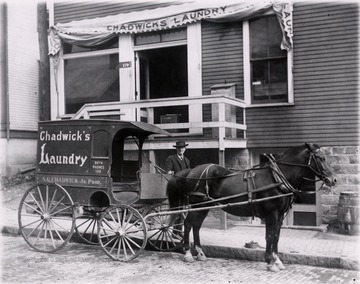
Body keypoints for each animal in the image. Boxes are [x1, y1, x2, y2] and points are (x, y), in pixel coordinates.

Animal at [167, 143, 336, 272]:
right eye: (321, 158)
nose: (333, 180)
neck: (277, 178)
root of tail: (191, 171)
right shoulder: (272, 214)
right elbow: (270, 236)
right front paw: (270, 262)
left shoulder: (280, 215)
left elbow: (276, 236)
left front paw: (277, 261)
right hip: (197, 204)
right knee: (188, 224)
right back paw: (188, 254)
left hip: (205, 205)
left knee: (196, 226)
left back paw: (200, 253)